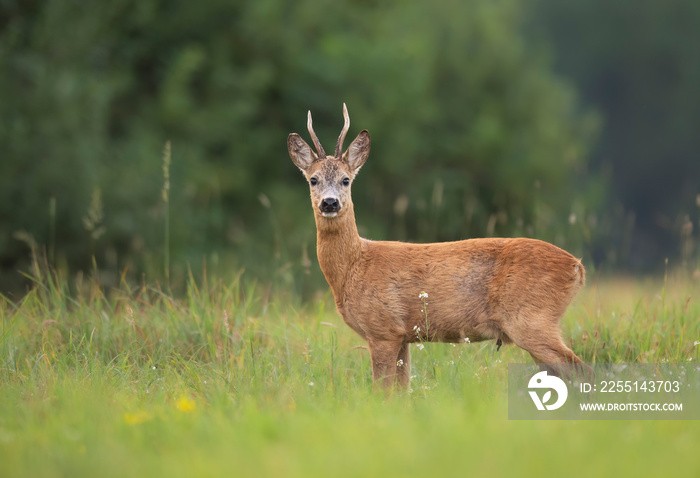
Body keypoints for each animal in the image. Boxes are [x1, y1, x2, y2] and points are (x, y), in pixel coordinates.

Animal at [288, 102, 588, 386]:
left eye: (346, 180)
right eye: (313, 179)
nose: (329, 203)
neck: (354, 266)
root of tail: (577, 266)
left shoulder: (383, 329)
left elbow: (381, 390)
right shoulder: (403, 336)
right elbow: (401, 390)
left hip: (532, 319)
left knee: (582, 370)